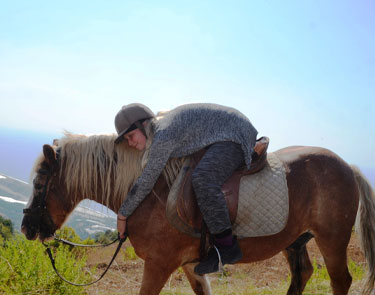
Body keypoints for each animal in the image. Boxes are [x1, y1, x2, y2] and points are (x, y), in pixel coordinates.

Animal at [21, 134, 375, 295]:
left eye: (39, 183)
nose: (26, 227)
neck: (149, 191)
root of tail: (348, 166)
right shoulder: (191, 266)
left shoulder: (159, 265)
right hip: (296, 241)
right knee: (302, 274)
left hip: (332, 240)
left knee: (340, 279)